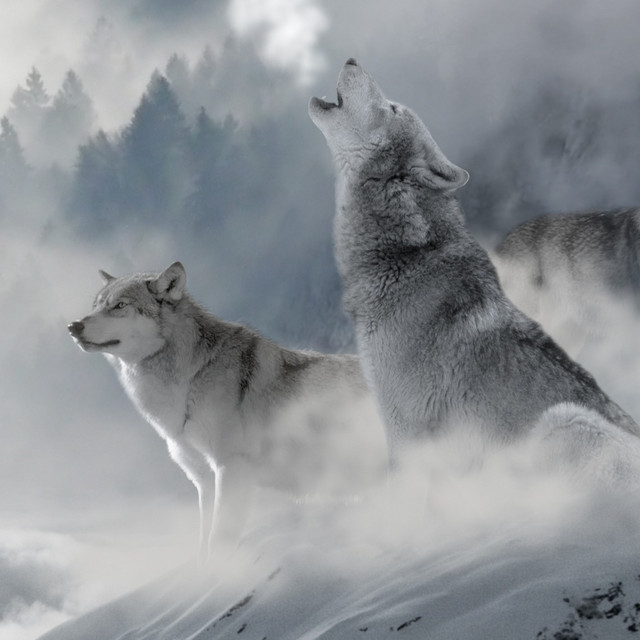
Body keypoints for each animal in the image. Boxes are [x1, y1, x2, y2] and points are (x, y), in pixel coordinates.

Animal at [68, 261, 385, 560]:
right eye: (96, 306)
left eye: (120, 306)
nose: (73, 326)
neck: (190, 380)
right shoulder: (205, 482)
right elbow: (203, 545)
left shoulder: (231, 469)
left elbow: (219, 541)